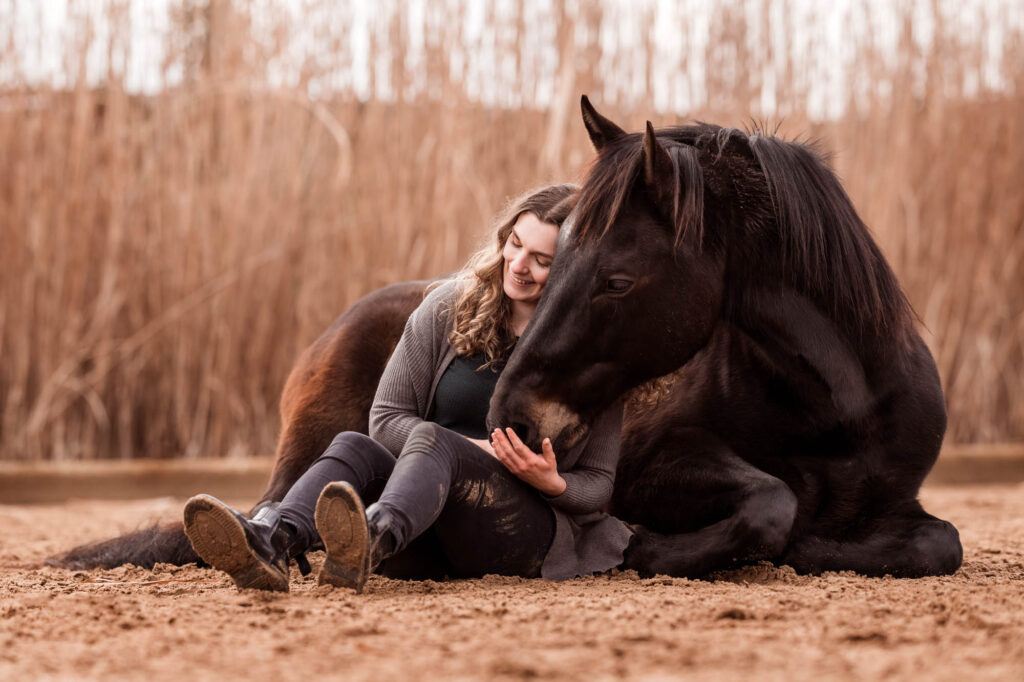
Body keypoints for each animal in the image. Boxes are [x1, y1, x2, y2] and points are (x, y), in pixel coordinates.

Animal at [49, 97, 961, 580]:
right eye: (555, 264)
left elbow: (940, 542)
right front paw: (654, 547)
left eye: (615, 279)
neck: (836, 407)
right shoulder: (660, 461)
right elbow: (773, 505)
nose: (512, 415)